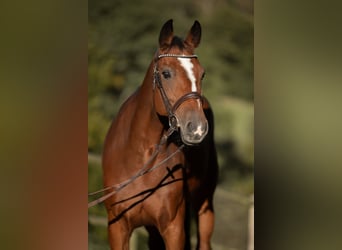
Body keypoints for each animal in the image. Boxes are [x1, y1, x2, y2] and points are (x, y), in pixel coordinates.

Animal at [102, 20, 219, 250]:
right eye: (166, 73)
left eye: (202, 74)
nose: (197, 128)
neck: (142, 157)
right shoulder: (118, 228)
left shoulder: (173, 229)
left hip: (205, 204)